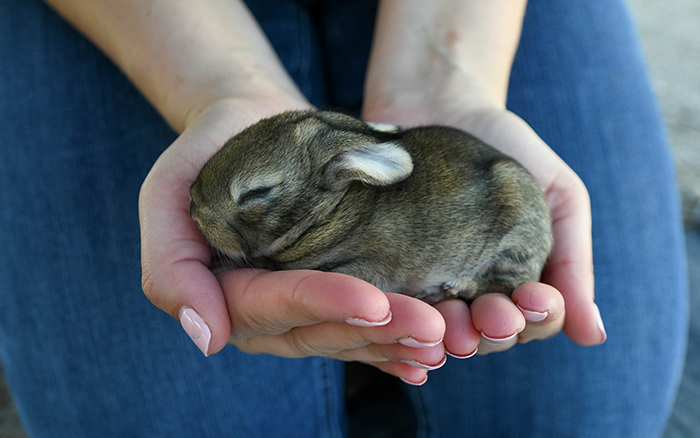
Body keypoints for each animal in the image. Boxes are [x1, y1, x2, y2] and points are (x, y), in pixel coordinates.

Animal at [190, 111, 552, 302]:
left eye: (256, 193)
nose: (193, 207)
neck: (328, 214)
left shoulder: (372, 267)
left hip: (516, 237)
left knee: (512, 283)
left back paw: (455, 287)